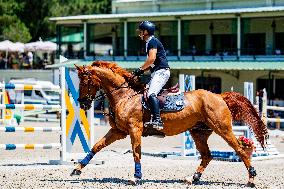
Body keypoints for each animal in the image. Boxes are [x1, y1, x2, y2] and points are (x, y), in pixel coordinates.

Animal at [71, 60, 268, 188]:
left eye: (85, 81)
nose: (83, 103)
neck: (124, 96)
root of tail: (219, 96)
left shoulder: (134, 129)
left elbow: (136, 153)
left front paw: (136, 177)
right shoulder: (118, 131)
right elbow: (97, 146)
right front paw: (77, 168)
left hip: (223, 129)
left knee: (240, 149)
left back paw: (251, 179)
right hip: (199, 132)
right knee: (207, 155)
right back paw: (192, 178)